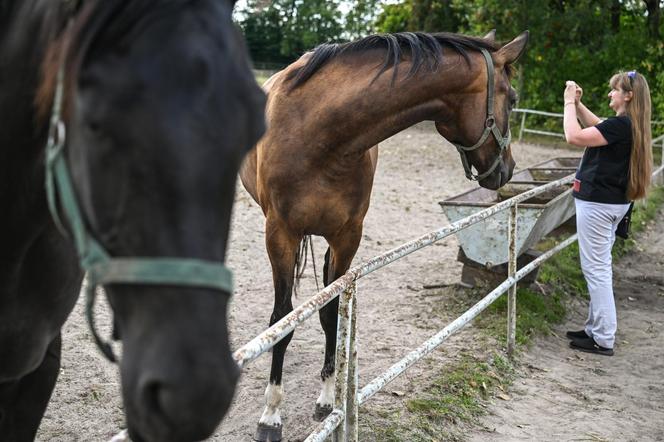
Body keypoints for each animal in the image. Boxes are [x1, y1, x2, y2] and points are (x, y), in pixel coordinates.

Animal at [240, 30, 528, 438]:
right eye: (513, 99)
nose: (508, 169)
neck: (320, 135)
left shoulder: (347, 238)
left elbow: (332, 313)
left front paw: (327, 399)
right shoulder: (280, 235)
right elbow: (281, 321)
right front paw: (271, 415)